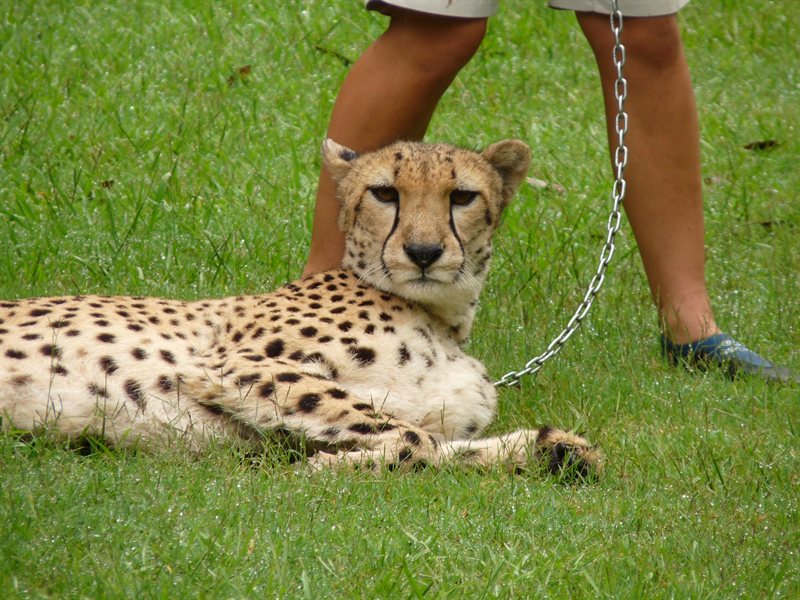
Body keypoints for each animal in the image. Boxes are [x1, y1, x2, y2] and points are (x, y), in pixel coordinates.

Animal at [0, 138, 600, 476]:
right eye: (385, 193)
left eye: (462, 197)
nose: (424, 252)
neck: (439, 316)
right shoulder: (231, 364)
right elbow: (415, 437)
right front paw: (322, 468)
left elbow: (435, 441)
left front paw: (551, 449)